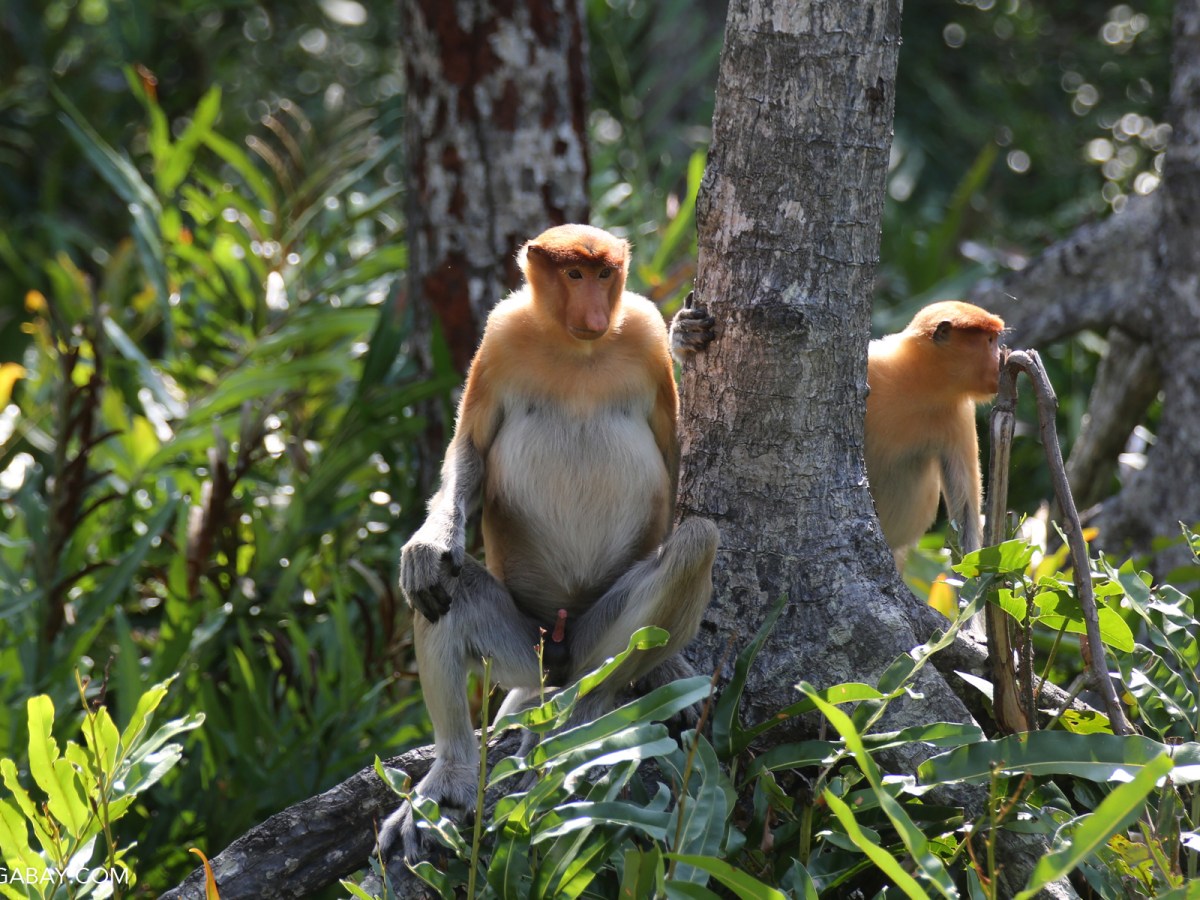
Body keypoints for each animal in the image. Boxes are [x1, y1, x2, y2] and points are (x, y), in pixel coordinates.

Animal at [379, 224, 718, 864]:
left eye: (606, 274)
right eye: (574, 275)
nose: (594, 314)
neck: (576, 347)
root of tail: (560, 655)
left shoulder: (639, 329)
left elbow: (676, 454)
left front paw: (686, 338)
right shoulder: (500, 337)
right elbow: (469, 451)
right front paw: (426, 544)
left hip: (595, 640)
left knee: (695, 545)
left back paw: (587, 720)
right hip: (522, 650)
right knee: (442, 592)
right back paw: (450, 778)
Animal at [865, 300, 1005, 566]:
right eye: (990, 340)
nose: (1000, 358)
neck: (921, 386)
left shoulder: (959, 416)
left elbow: (965, 512)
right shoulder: (873, 366)